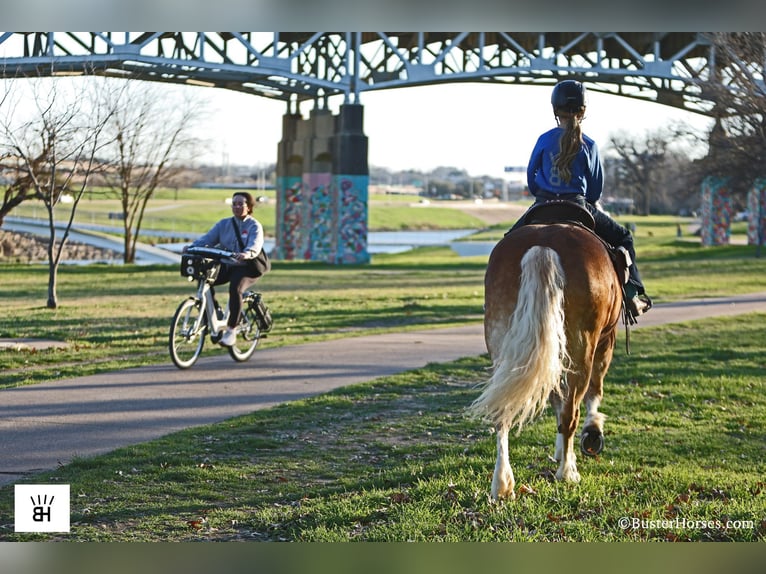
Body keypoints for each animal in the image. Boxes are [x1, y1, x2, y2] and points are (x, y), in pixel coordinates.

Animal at [472, 218, 628, 502]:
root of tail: (544, 245)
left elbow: (556, 397)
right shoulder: (606, 341)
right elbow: (594, 391)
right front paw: (591, 433)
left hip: (502, 341)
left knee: (502, 413)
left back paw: (502, 482)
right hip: (582, 347)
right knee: (571, 411)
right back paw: (567, 472)